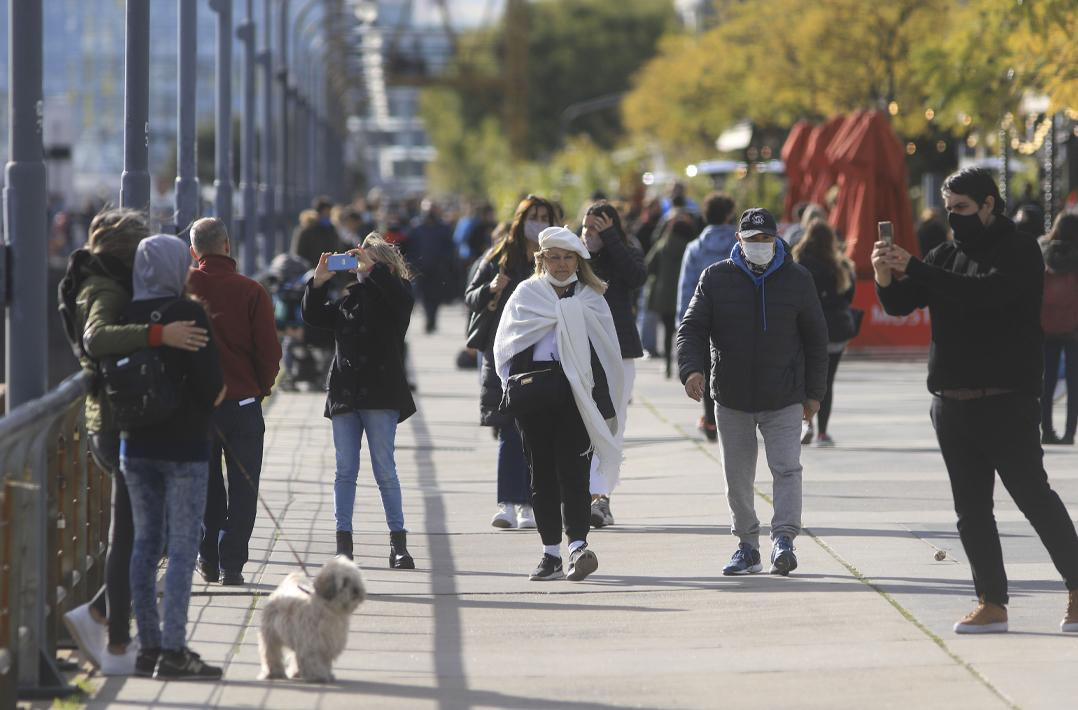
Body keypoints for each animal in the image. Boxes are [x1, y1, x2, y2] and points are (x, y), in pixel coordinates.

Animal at [256, 555, 366, 685]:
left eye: (356, 579)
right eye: (344, 582)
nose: (357, 590)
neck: (328, 609)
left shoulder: (327, 643)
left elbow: (324, 661)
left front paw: (327, 674)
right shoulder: (312, 644)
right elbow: (314, 661)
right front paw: (319, 676)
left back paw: (296, 673)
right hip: (271, 633)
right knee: (271, 652)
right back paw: (274, 673)